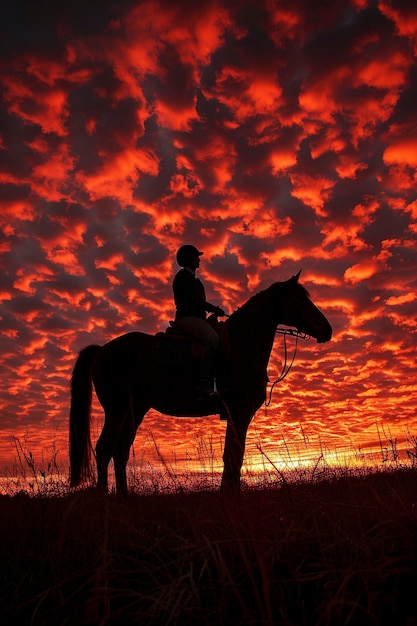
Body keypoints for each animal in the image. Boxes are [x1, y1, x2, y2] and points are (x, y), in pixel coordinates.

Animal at [69, 270, 332, 494]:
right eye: (300, 300)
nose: (328, 330)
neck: (241, 345)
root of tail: (102, 350)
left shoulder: (237, 414)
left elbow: (232, 454)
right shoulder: (240, 411)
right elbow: (234, 455)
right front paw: (231, 494)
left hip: (134, 410)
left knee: (120, 450)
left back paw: (124, 497)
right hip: (117, 410)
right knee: (104, 449)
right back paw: (104, 497)